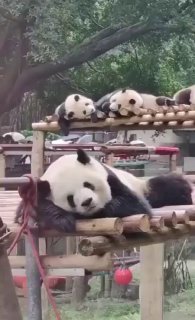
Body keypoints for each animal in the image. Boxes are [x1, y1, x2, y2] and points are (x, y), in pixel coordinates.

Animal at [14, 149, 193, 231]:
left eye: (88, 185)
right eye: (70, 198)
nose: (87, 202)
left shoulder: (111, 177)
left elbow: (135, 204)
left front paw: (105, 209)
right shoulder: (39, 191)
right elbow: (36, 206)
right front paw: (63, 219)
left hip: (143, 186)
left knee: (170, 186)